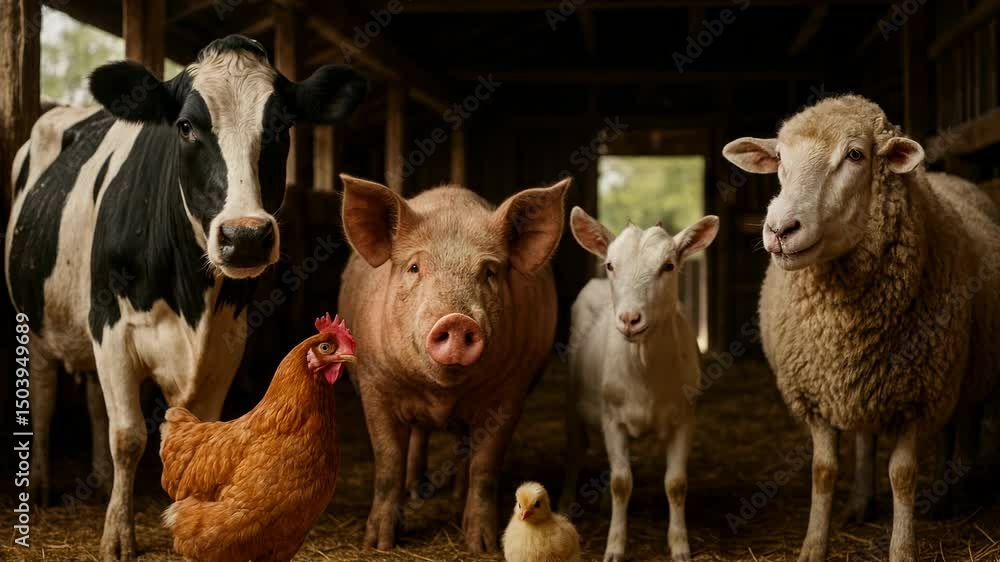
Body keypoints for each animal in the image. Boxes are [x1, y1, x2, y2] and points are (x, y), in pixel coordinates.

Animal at [4, 35, 365, 561]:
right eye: (186, 126)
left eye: (281, 127)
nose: (245, 236)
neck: (190, 300)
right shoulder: (112, 326)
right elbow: (128, 435)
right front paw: (118, 535)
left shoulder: (227, 340)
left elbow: (197, 428)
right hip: (36, 321)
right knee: (47, 395)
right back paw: (44, 486)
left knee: (93, 400)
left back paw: (98, 480)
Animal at [559, 207, 719, 562]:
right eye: (610, 264)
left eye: (668, 266)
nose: (630, 319)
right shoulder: (612, 419)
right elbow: (622, 482)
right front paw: (615, 547)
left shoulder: (684, 417)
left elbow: (675, 483)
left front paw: (680, 545)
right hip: (573, 399)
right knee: (575, 449)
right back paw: (567, 506)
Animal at [722, 94, 1000, 562]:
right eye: (779, 158)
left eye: (855, 155)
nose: (779, 229)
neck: (843, 324)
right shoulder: (815, 393)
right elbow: (823, 471)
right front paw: (813, 545)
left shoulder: (919, 395)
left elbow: (903, 475)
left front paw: (902, 548)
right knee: (872, 438)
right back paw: (861, 504)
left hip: (968, 370)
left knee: (963, 423)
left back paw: (953, 494)